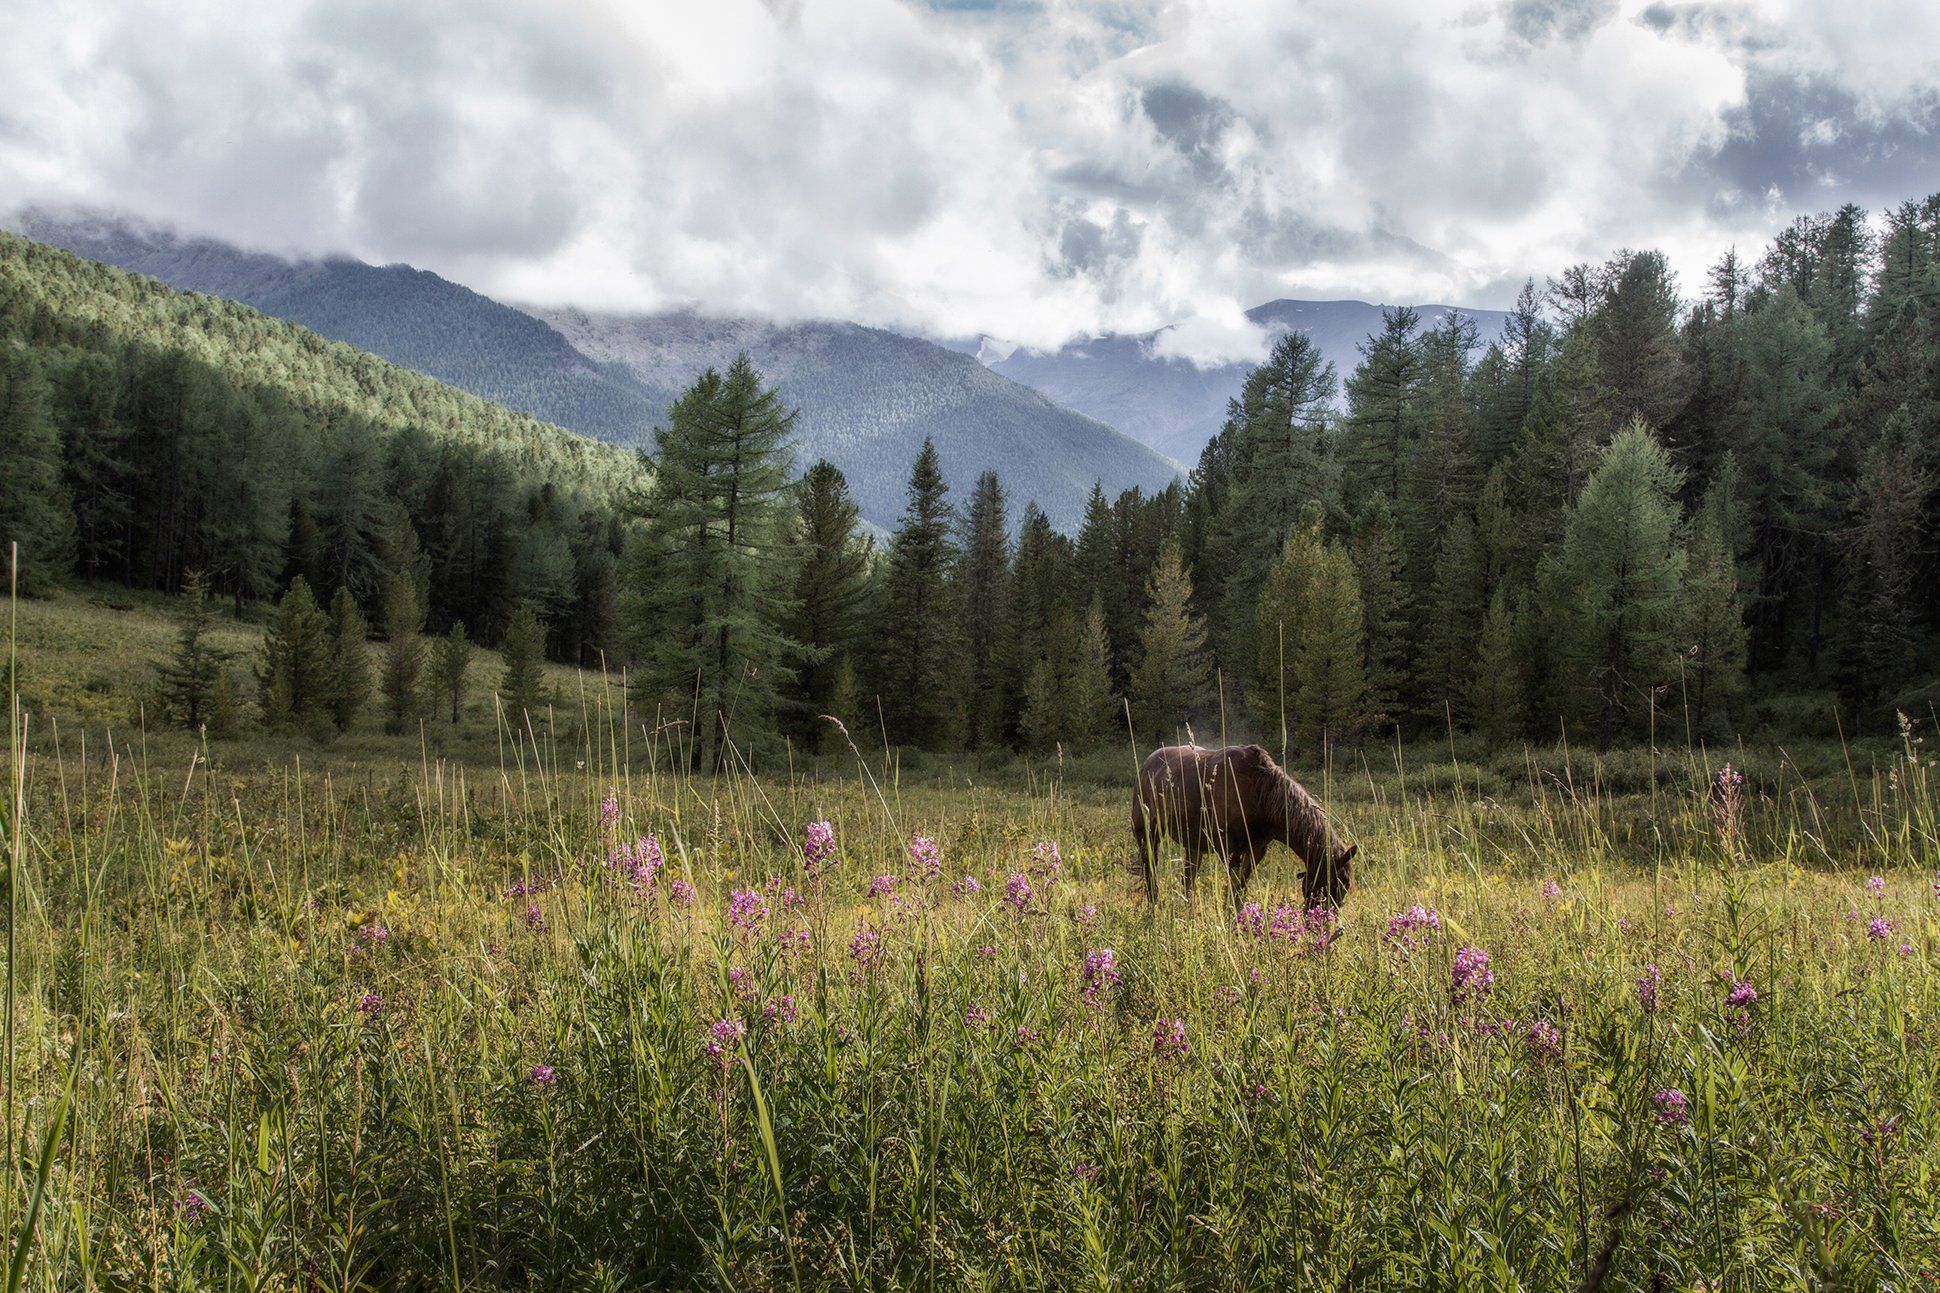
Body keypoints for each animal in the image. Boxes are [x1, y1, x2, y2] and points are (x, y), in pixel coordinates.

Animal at [1132, 745, 1358, 904]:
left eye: (1345, 885)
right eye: (1329, 883)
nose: (1319, 922)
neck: (1259, 792)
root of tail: (1146, 765)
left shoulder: (1256, 850)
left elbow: (1240, 890)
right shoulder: (1231, 851)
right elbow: (1233, 890)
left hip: (1193, 845)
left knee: (1188, 880)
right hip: (1147, 833)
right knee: (1150, 871)